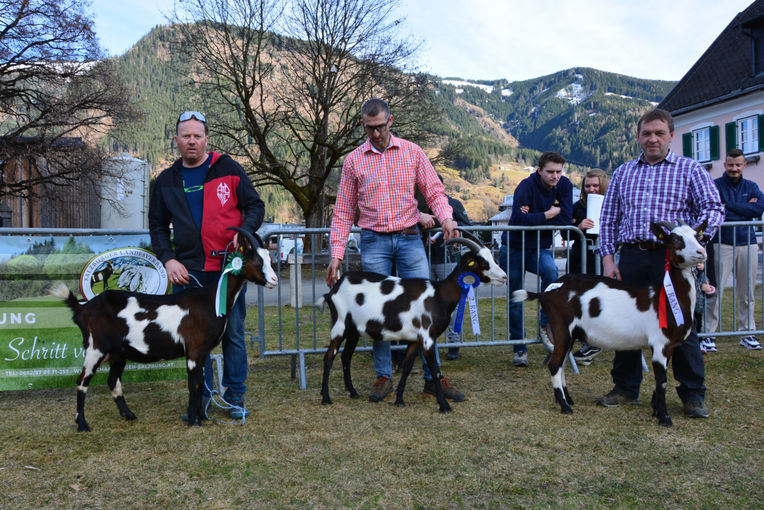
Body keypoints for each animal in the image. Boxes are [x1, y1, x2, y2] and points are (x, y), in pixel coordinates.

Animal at [50, 227, 278, 430]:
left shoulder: (202, 352)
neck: (210, 299)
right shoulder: (194, 350)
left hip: (118, 353)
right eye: (258, 261)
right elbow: (194, 384)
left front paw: (200, 417)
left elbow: (200, 381)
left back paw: (128, 415)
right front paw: (194, 421)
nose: (274, 280)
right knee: (82, 381)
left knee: (113, 380)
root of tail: (83, 307)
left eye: (269, 258)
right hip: (94, 348)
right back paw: (82, 424)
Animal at [316, 233, 508, 412]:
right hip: (340, 324)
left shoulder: (415, 339)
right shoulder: (428, 338)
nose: (504, 277)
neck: (439, 295)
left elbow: (407, 367)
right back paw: (326, 398)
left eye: (491, 257)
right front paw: (444, 406)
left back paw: (353, 392)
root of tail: (334, 288)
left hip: (354, 330)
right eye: (481, 262)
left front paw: (399, 400)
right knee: (329, 356)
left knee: (345, 357)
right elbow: (434, 370)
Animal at [512, 221, 712, 424]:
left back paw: (568, 399)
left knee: (561, 363)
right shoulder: (659, 343)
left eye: (698, 235)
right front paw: (664, 418)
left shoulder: (669, 346)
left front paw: (656, 410)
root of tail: (546, 292)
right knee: (554, 364)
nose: (701, 252)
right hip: (562, 326)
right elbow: (662, 381)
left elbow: (660, 381)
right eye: (675, 240)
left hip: (571, 334)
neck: (666, 298)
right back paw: (565, 407)